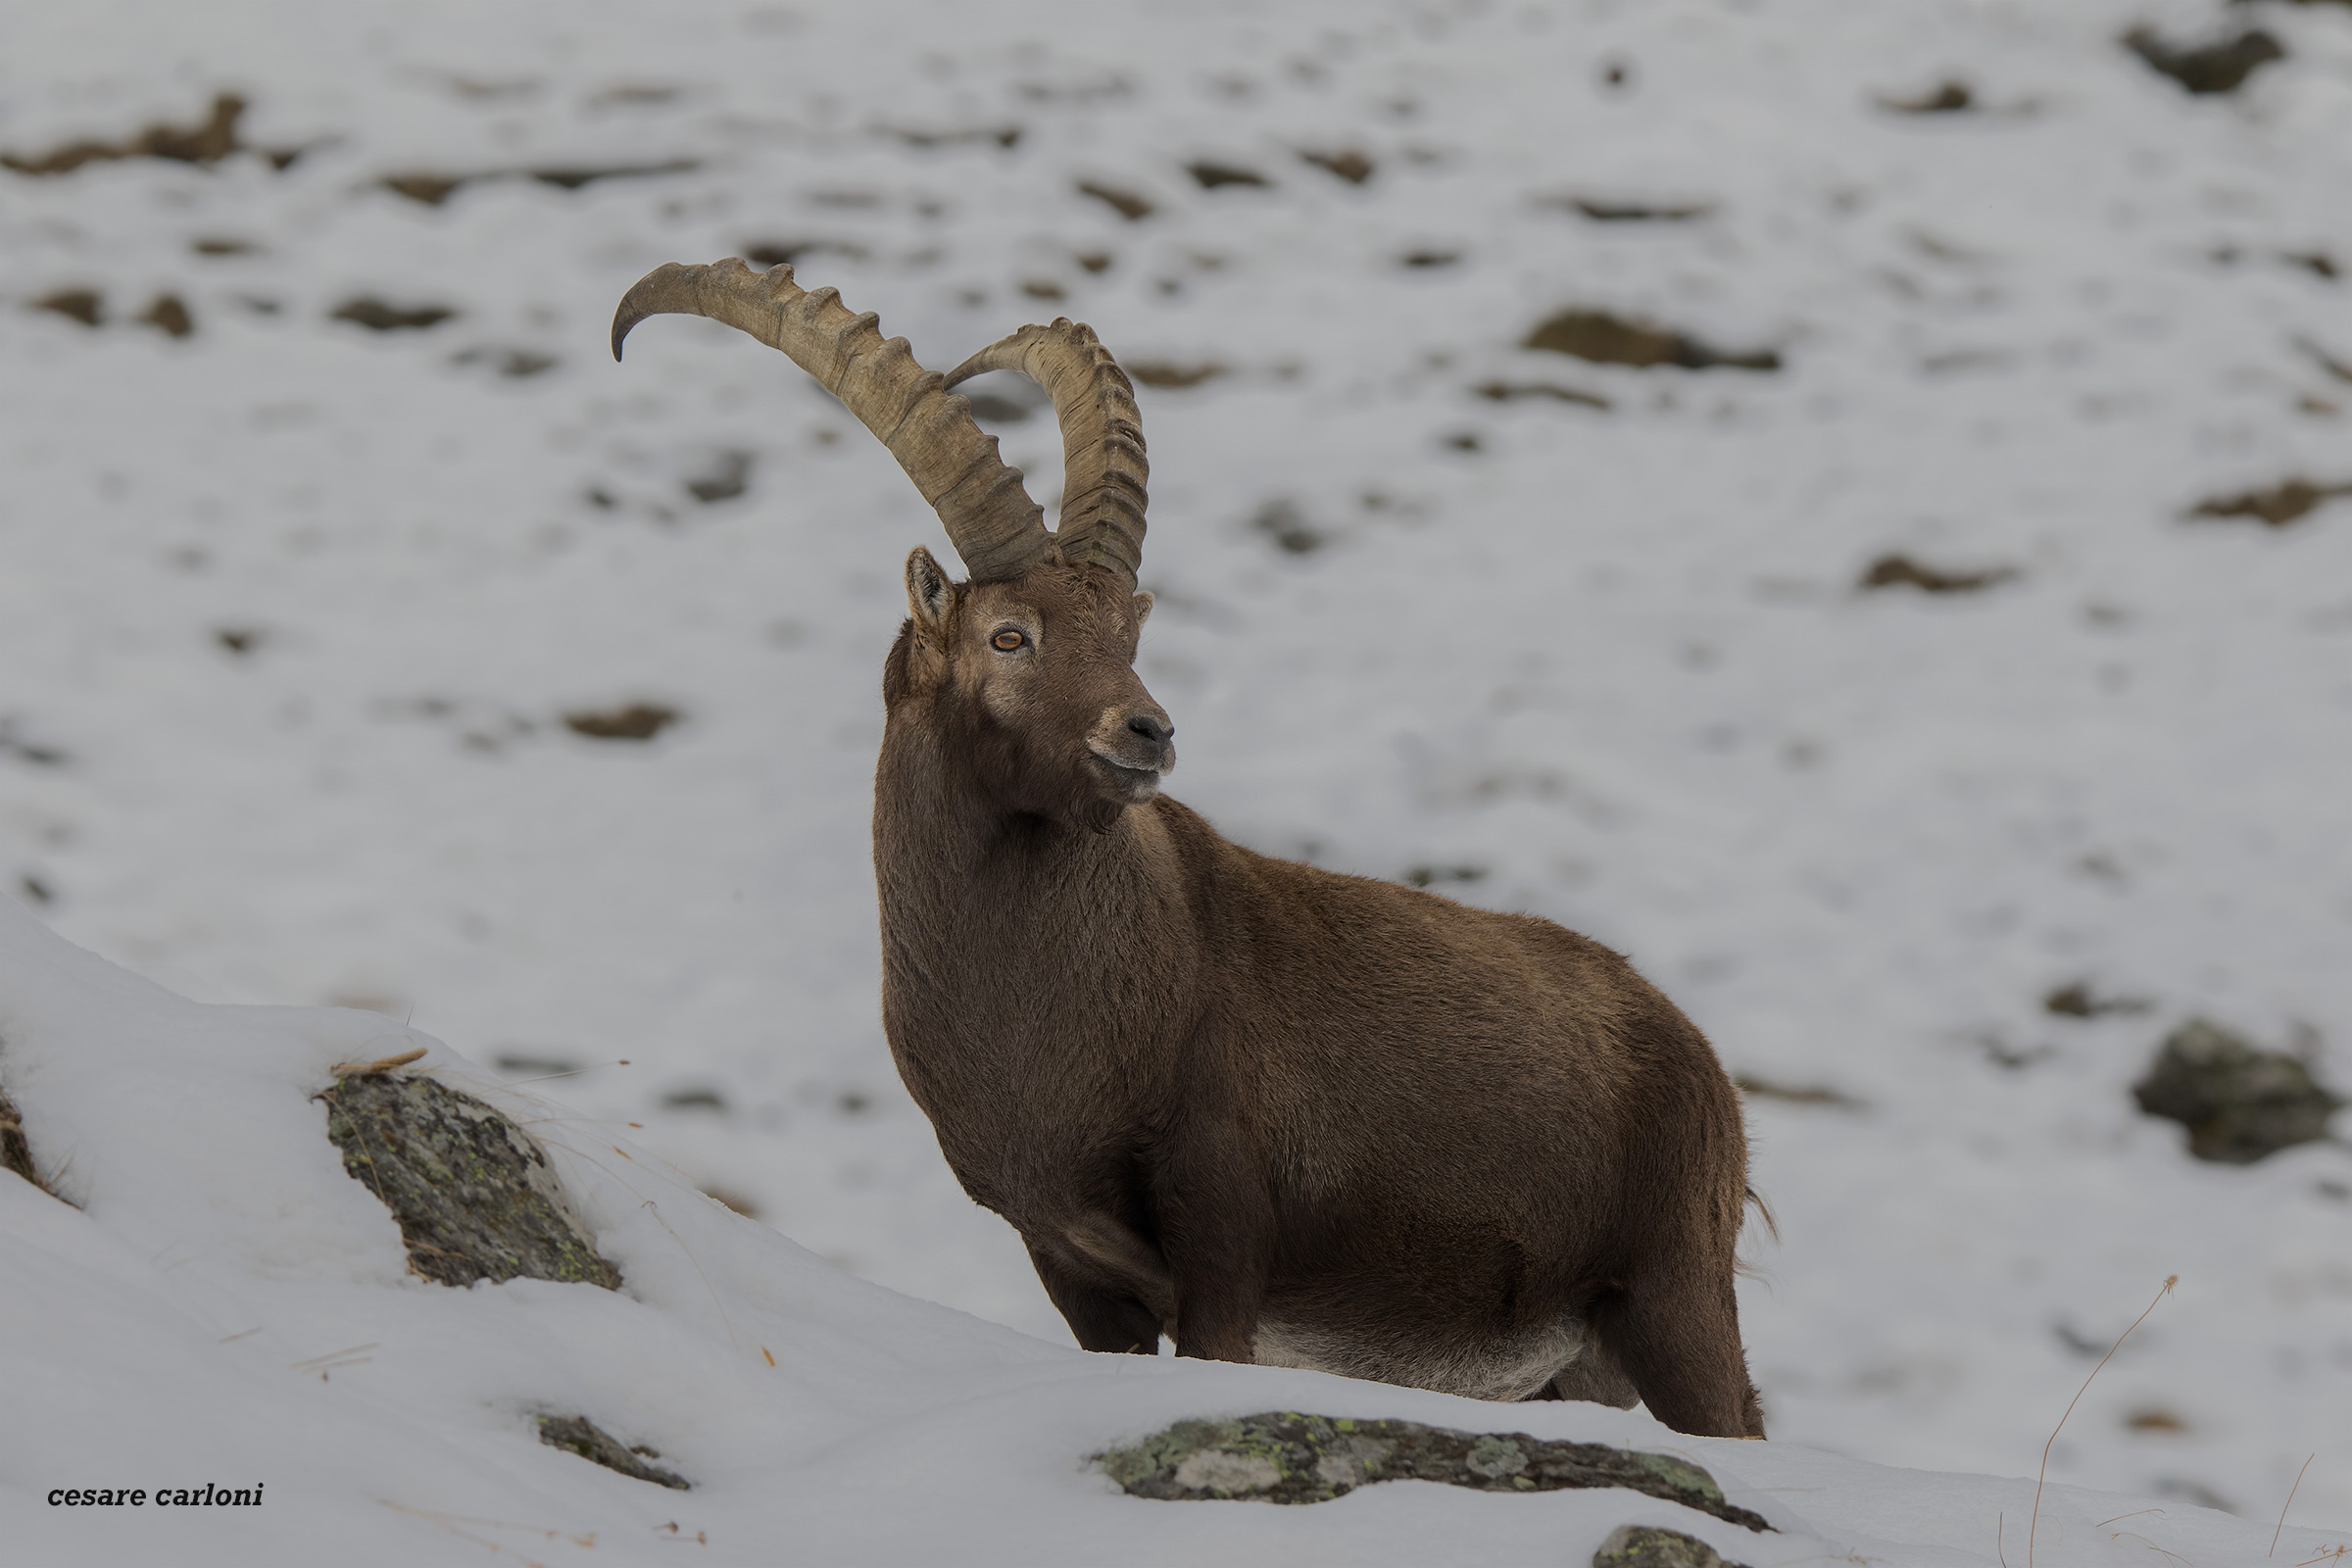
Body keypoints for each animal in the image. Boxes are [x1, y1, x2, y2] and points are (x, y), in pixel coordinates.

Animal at [612, 260, 1767, 1438]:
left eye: (1127, 633)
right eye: (1009, 636)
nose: (1147, 732)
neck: (1061, 1018)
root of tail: (1702, 1065)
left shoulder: (1223, 1231)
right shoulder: (1069, 1262)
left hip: (1674, 1296)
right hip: (1576, 1363)